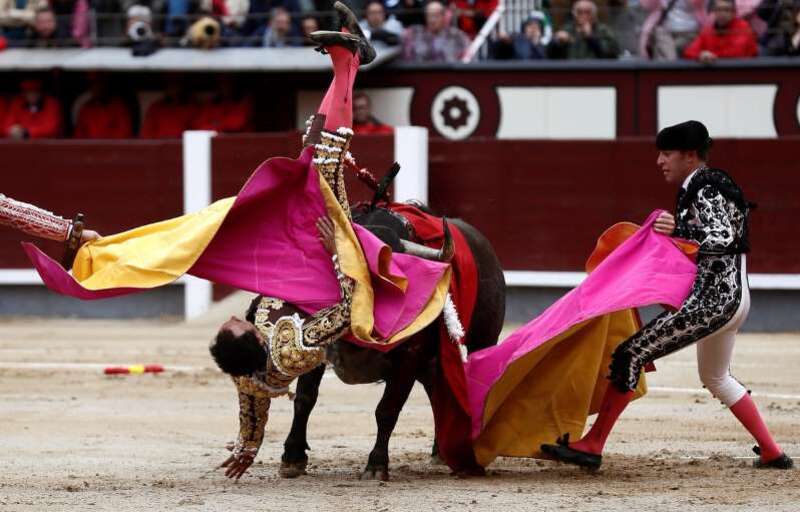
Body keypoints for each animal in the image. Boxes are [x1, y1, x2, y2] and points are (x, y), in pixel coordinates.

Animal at [247, 204, 504, 480]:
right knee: (438, 392)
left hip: (482, 341)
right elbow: (305, 399)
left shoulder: (409, 357)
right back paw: (441, 451)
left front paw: (377, 465)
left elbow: (387, 410)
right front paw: (292, 458)